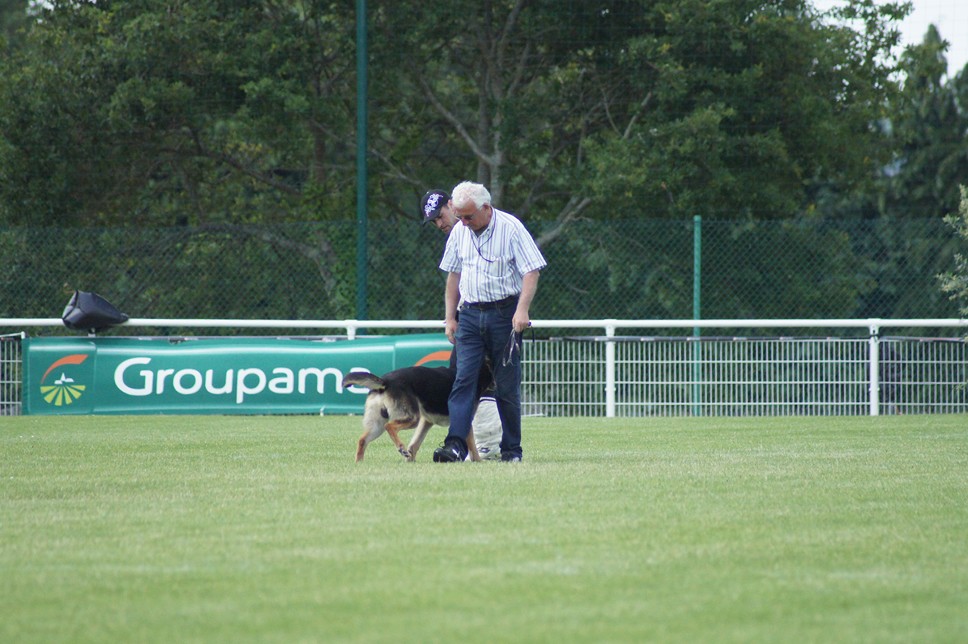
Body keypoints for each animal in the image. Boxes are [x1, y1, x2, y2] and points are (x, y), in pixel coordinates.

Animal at [340, 358, 492, 462]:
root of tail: (386, 381)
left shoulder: (426, 421)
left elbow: (415, 444)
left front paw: (410, 461)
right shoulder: (465, 419)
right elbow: (472, 446)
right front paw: (478, 461)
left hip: (378, 426)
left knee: (362, 440)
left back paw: (359, 463)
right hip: (412, 419)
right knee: (390, 426)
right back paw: (401, 447)